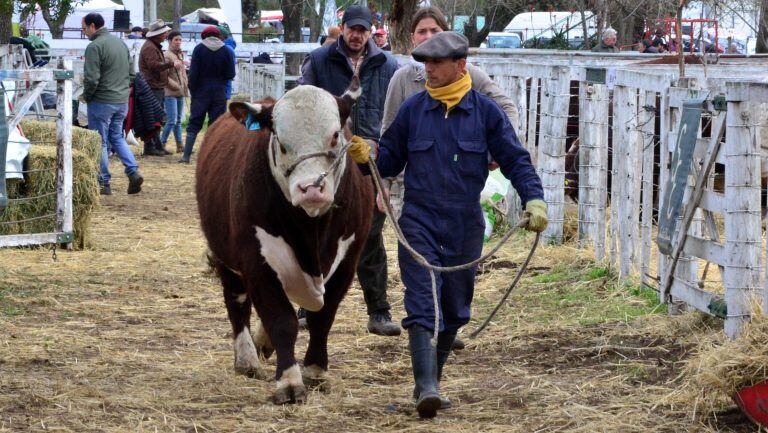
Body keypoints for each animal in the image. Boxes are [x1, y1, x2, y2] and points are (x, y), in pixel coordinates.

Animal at [196, 78, 374, 404]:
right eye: (280, 141)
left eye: (335, 136)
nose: (311, 188)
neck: (312, 230)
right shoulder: (257, 259)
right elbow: (281, 319)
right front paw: (289, 382)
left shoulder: (348, 260)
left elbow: (322, 318)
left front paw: (316, 371)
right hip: (226, 258)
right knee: (237, 301)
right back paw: (247, 359)